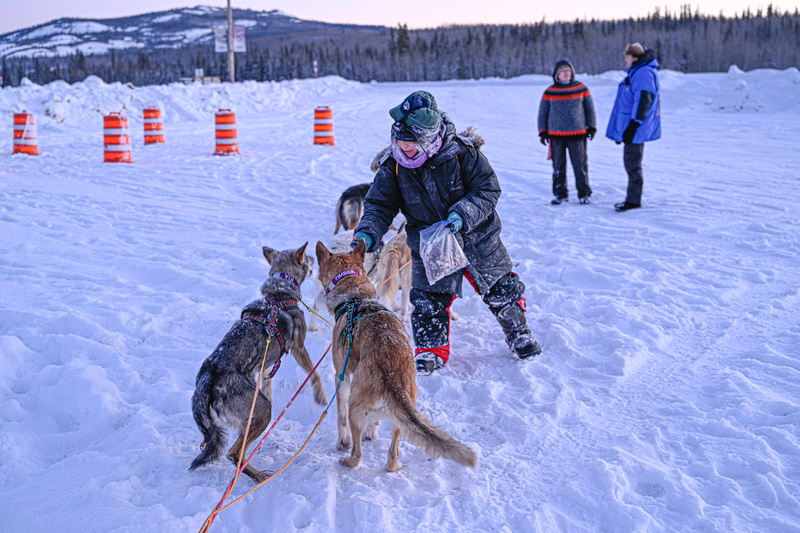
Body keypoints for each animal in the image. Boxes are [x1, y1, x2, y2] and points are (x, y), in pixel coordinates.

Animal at [314, 240, 478, 470]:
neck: (355, 296)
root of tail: (393, 379)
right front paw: (371, 433)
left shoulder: (342, 376)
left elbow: (340, 417)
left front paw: (343, 440)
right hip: (401, 418)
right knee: (392, 457)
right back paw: (395, 463)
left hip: (355, 407)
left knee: (357, 454)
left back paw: (347, 459)